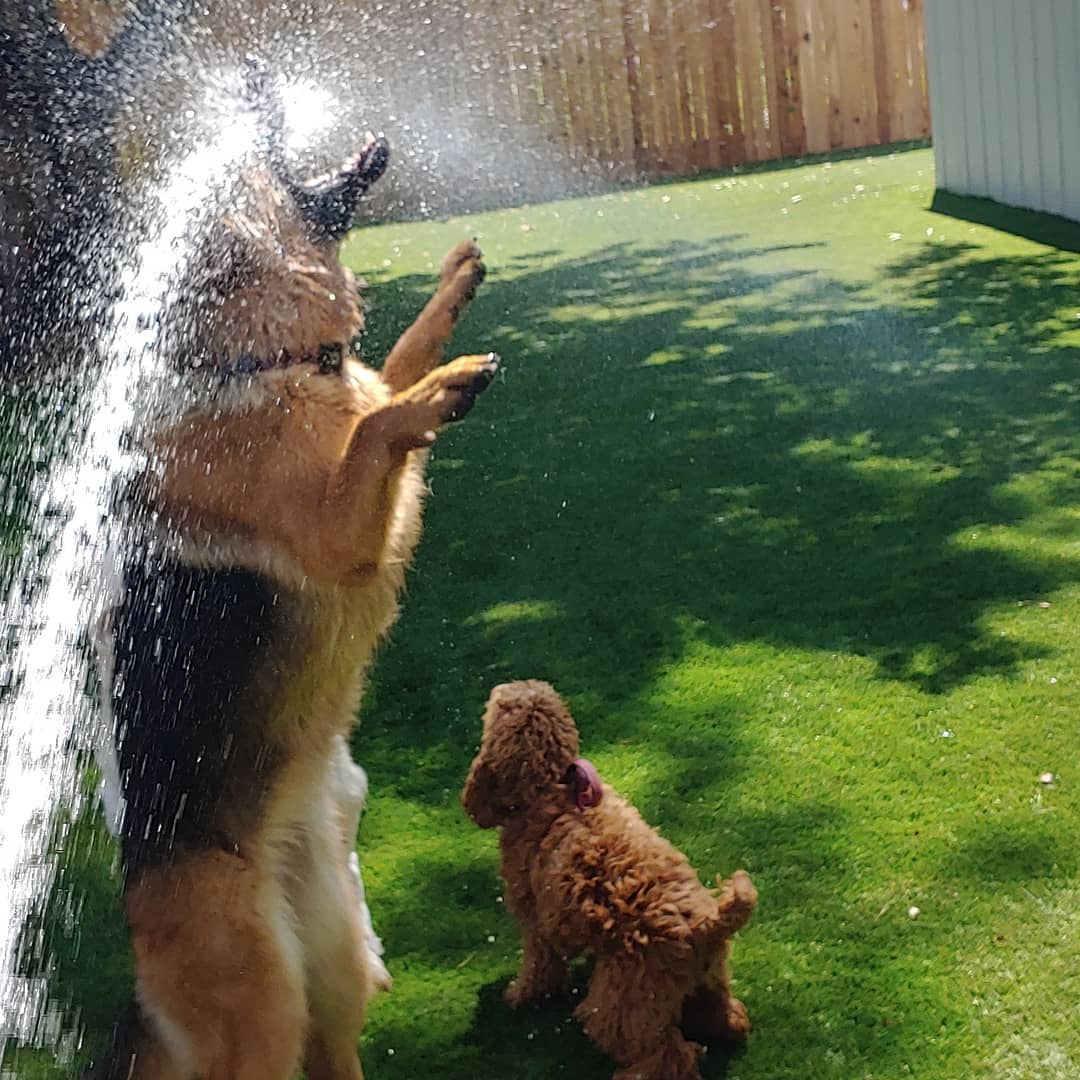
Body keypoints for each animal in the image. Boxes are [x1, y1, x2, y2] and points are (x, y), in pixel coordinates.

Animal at [92, 99, 496, 1071]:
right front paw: (441, 388)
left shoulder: (359, 407)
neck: (268, 362)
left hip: (334, 950)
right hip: (263, 1007)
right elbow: (381, 422)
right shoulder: (341, 533)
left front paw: (451, 292)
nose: (252, 83)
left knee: (335, 1041)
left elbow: (389, 373)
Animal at [460, 682, 756, 1080]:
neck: (551, 786)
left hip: (619, 1005)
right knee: (724, 1018)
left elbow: (539, 964)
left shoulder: (534, 918)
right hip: (709, 980)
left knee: (669, 1056)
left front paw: (522, 994)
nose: (500, 686)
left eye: (497, 707)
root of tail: (708, 924)